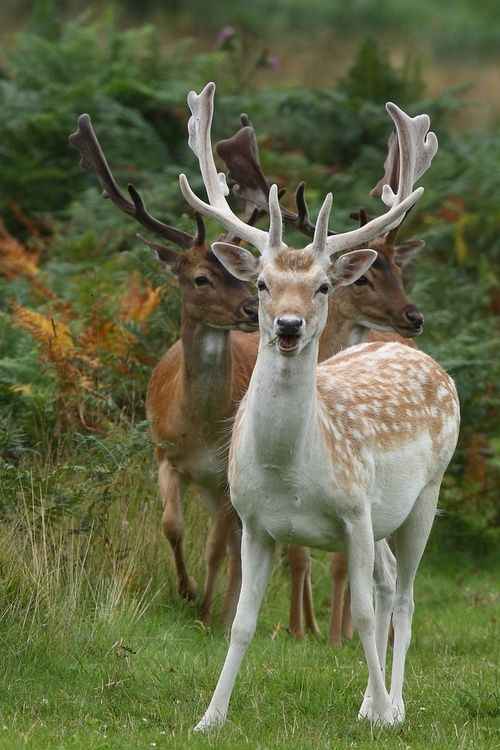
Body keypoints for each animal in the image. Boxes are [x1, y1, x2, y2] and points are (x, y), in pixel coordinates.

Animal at [69, 114, 261, 626]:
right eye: (200, 278)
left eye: (247, 274)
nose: (254, 308)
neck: (199, 429)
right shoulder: (163, 454)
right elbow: (171, 526)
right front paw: (186, 591)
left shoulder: (224, 474)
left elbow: (214, 546)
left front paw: (206, 606)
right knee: (235, 541)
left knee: (238, 541)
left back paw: (229, 608)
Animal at [215, 106, 432, 643]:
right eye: (261, 283)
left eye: (324, 286)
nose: (288, 325)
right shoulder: (252, 520)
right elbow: (244, 618)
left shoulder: (357, 515)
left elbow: (359, 603)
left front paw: (339, 640)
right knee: (387, 576)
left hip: (422, 499)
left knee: (402, 592)